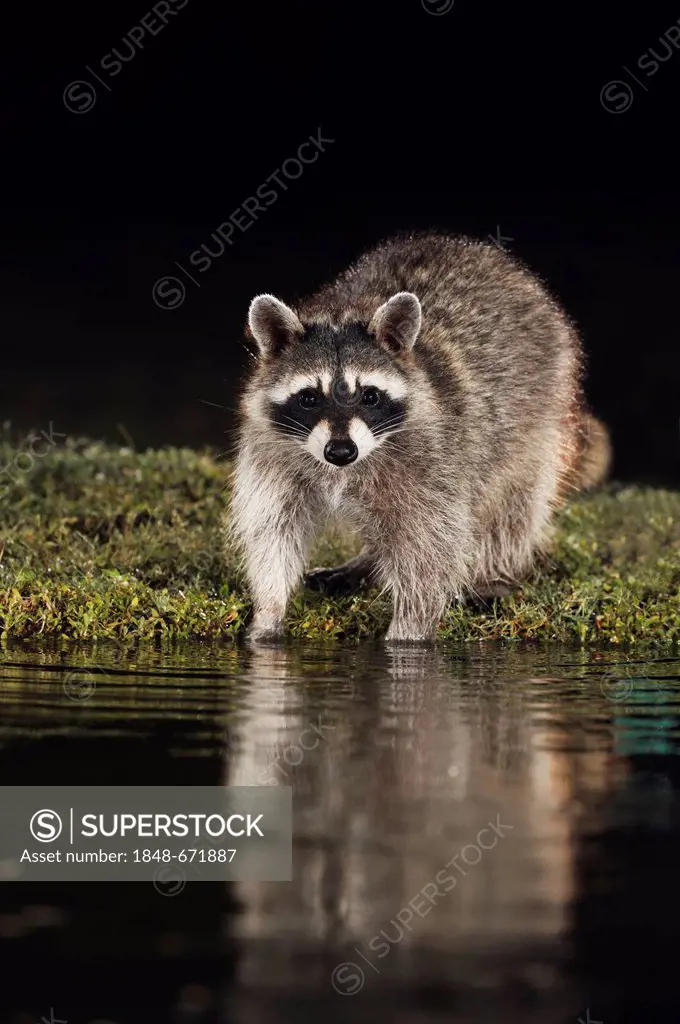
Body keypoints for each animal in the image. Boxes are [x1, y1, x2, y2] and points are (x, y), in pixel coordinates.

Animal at [229, 232, 610, 638]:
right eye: (309, 398)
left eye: (370, 396)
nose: (341, 451)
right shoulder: (274, 453)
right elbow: (273, 530)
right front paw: (269, 611)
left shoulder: (431, 459)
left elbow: (429, 549)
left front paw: (408, 632)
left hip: (540, 409)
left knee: (514, 503)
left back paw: (493, 571)